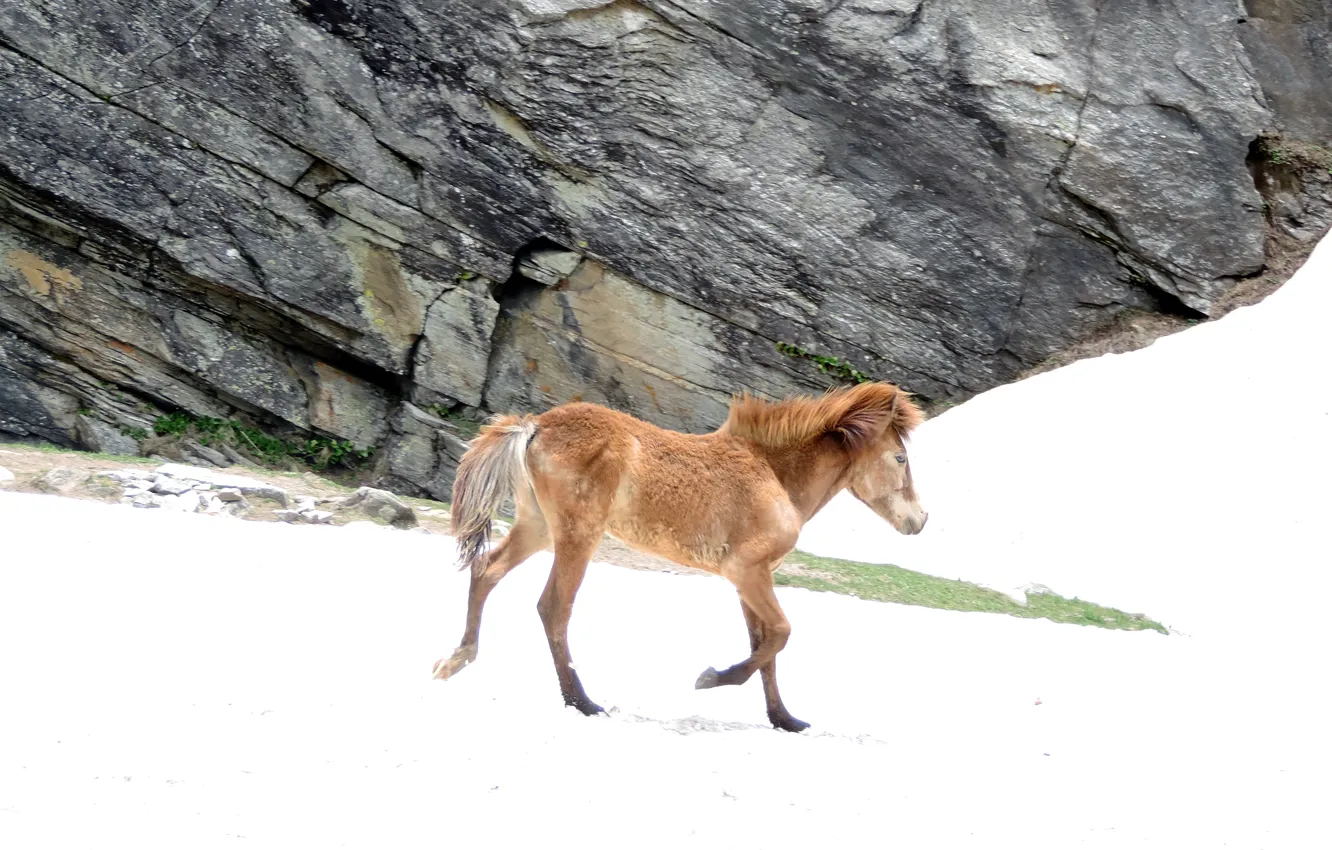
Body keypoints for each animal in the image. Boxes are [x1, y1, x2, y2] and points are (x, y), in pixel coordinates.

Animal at [431, 381, 928, 732]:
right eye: (901, 458)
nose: (920, 520)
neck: (776, 476)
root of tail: (535, 425)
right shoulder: (745, 571)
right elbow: (781, 635)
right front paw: (711, 678)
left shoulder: (752, 580)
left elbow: (765, 645)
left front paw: (785, 719)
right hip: (577, 534)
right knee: (553, 607)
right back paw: (583, 702)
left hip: (538, 528)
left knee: (486, 570)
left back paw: (455, 661)